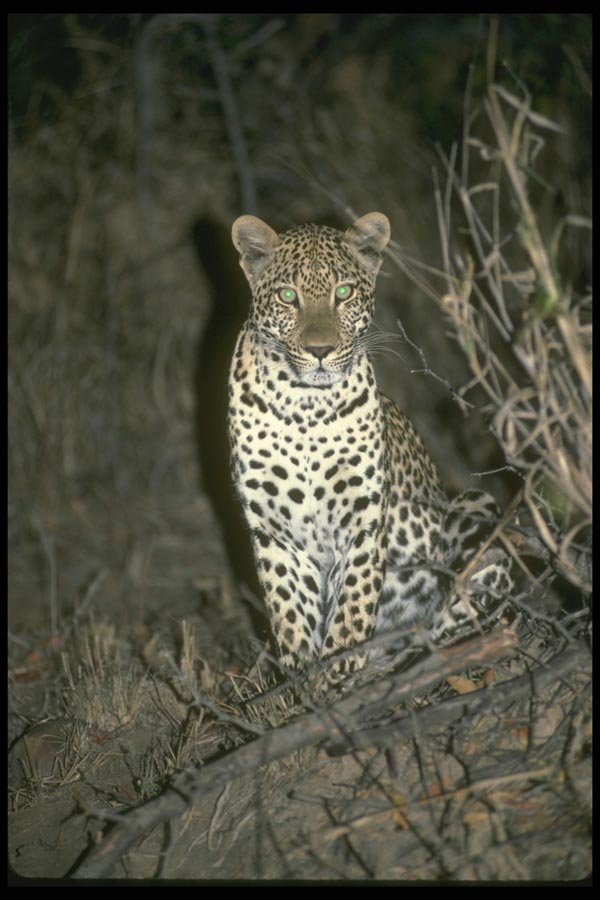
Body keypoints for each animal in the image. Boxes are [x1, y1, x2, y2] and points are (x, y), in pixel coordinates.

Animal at [227, 212, 511, 678]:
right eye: (288, 296)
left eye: (343, 293)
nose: (320, 350)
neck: (305, 406)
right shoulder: (274, 531)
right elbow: (290, 614)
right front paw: (304, 684)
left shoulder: (362, 520)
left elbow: (352, 610)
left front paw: (338, 674)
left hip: (476, 507)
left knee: (456, 613)